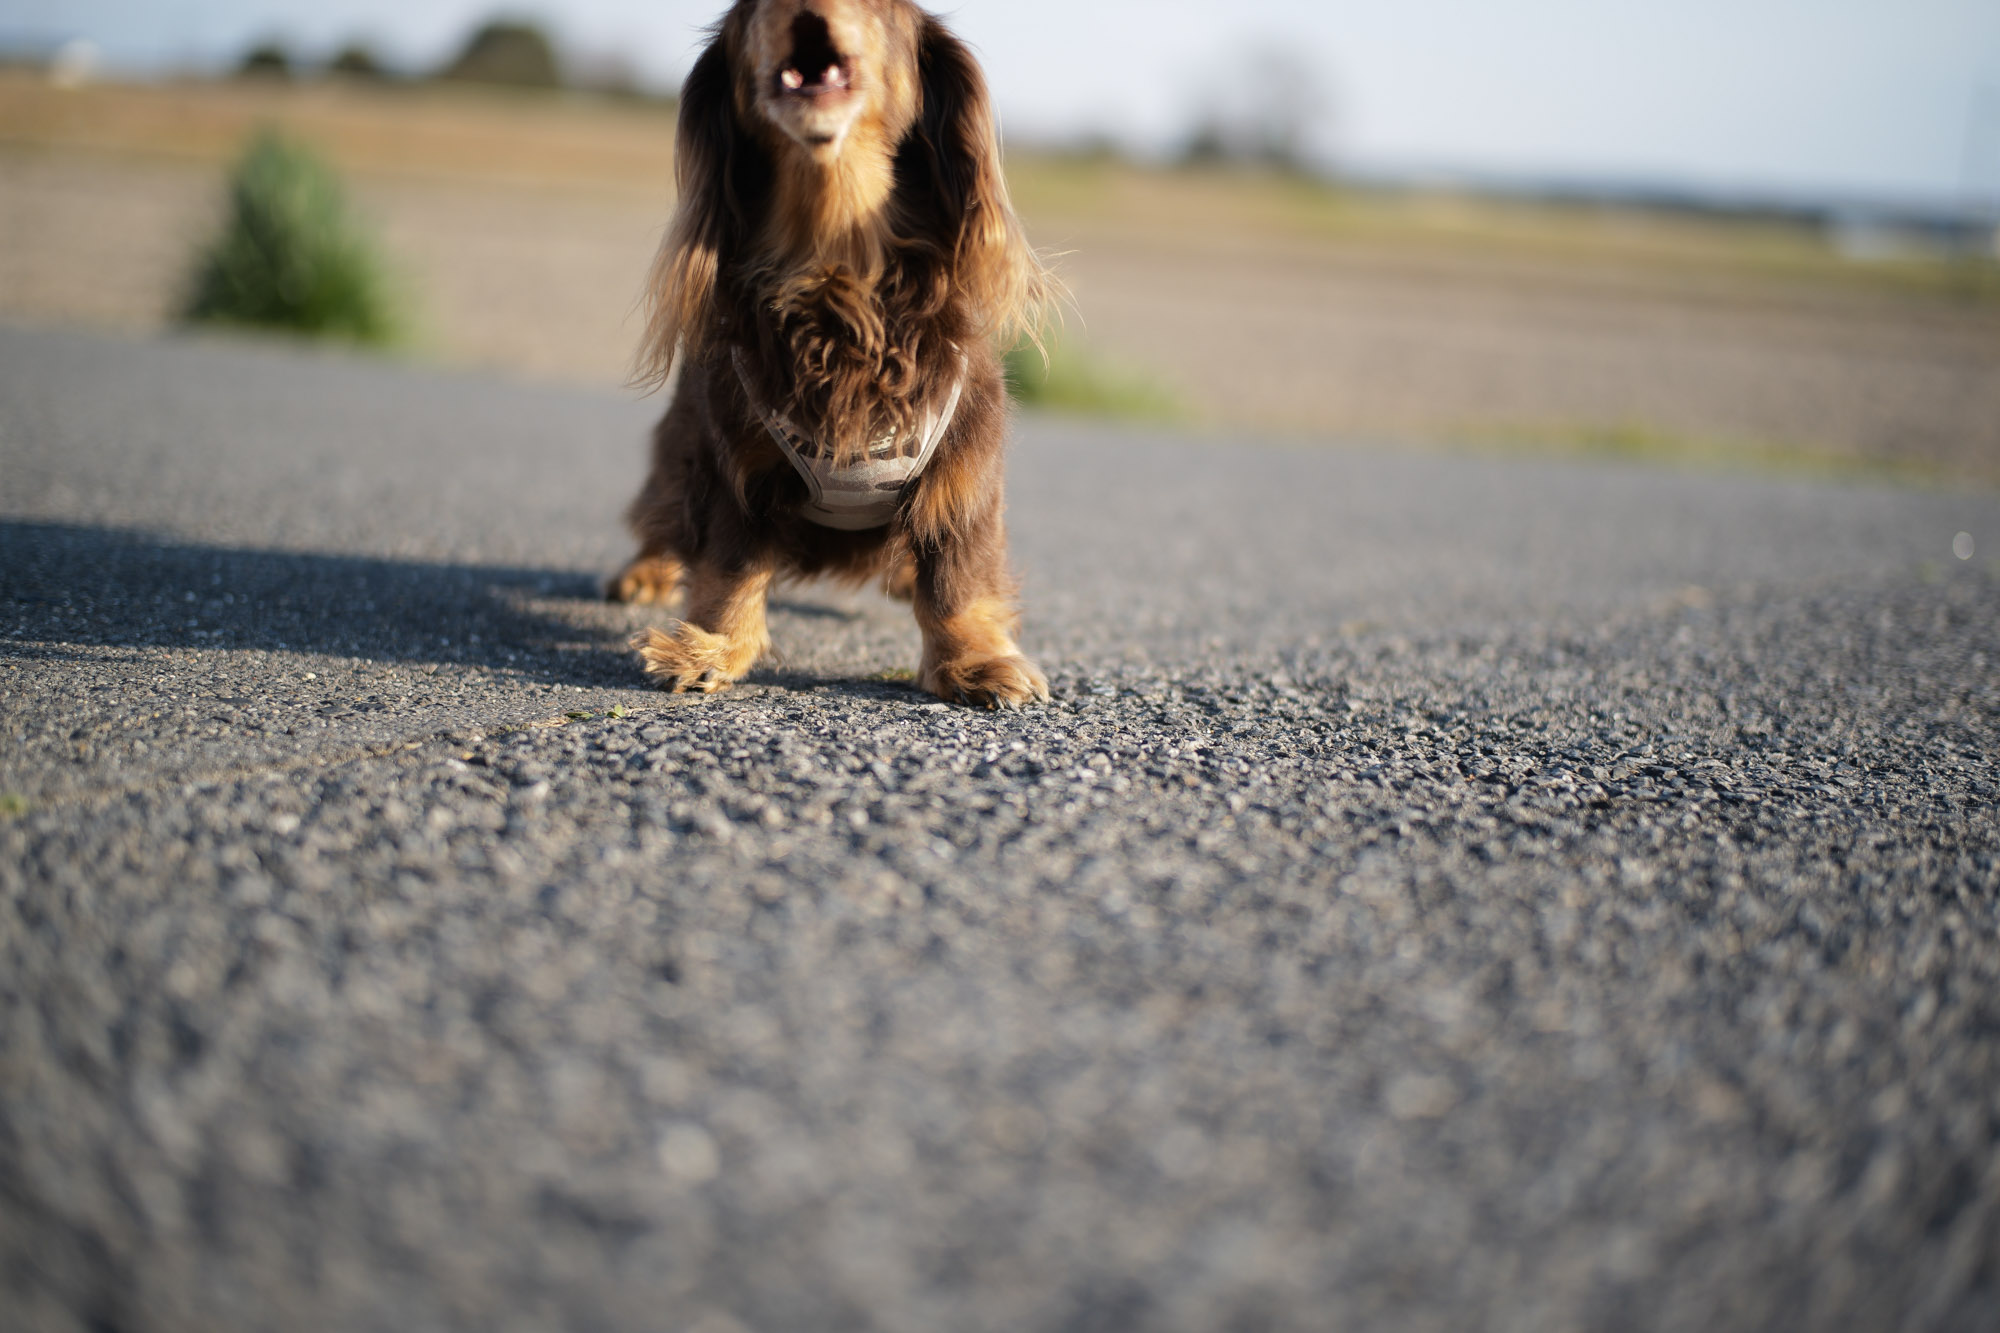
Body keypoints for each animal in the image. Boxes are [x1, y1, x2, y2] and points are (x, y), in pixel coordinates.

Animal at [608, 0, 1056, 704]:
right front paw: (712, 647)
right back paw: (648, 572)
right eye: (748, 9)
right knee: (664, 504)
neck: (835, 269)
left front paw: (976, 662)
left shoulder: (962, 462)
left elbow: (957, 577)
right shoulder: (735, 464)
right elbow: (730, 566)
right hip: (684, 440)